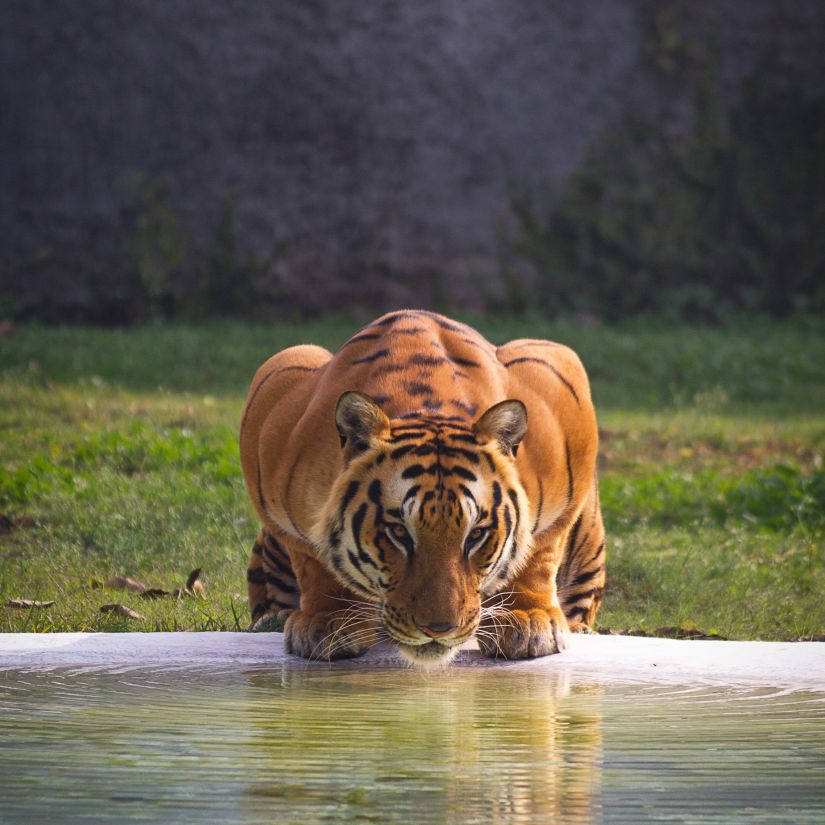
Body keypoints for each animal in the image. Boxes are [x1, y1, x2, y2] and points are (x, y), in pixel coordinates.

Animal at [238, 312, 604, 668]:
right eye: (399, 532)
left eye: (476, 535)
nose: (439, 629)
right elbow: (312, 558)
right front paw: (327, 622)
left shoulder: (561, 388)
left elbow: (540, 550)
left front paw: (527, 620)